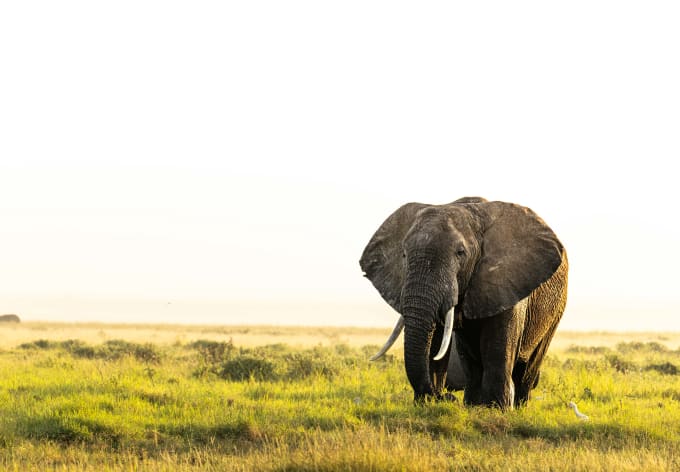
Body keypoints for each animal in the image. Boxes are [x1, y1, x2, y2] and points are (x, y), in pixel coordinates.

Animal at [360, 197, 568, 409]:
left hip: (556, 309)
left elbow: (497, 346)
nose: (443, 396)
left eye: (460, 253)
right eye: (403, 254)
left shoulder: (508, 280)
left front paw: (497, 409)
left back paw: (517, 408)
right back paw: (473, 404)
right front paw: (432, 405)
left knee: (529, 366)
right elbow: (438, 340)